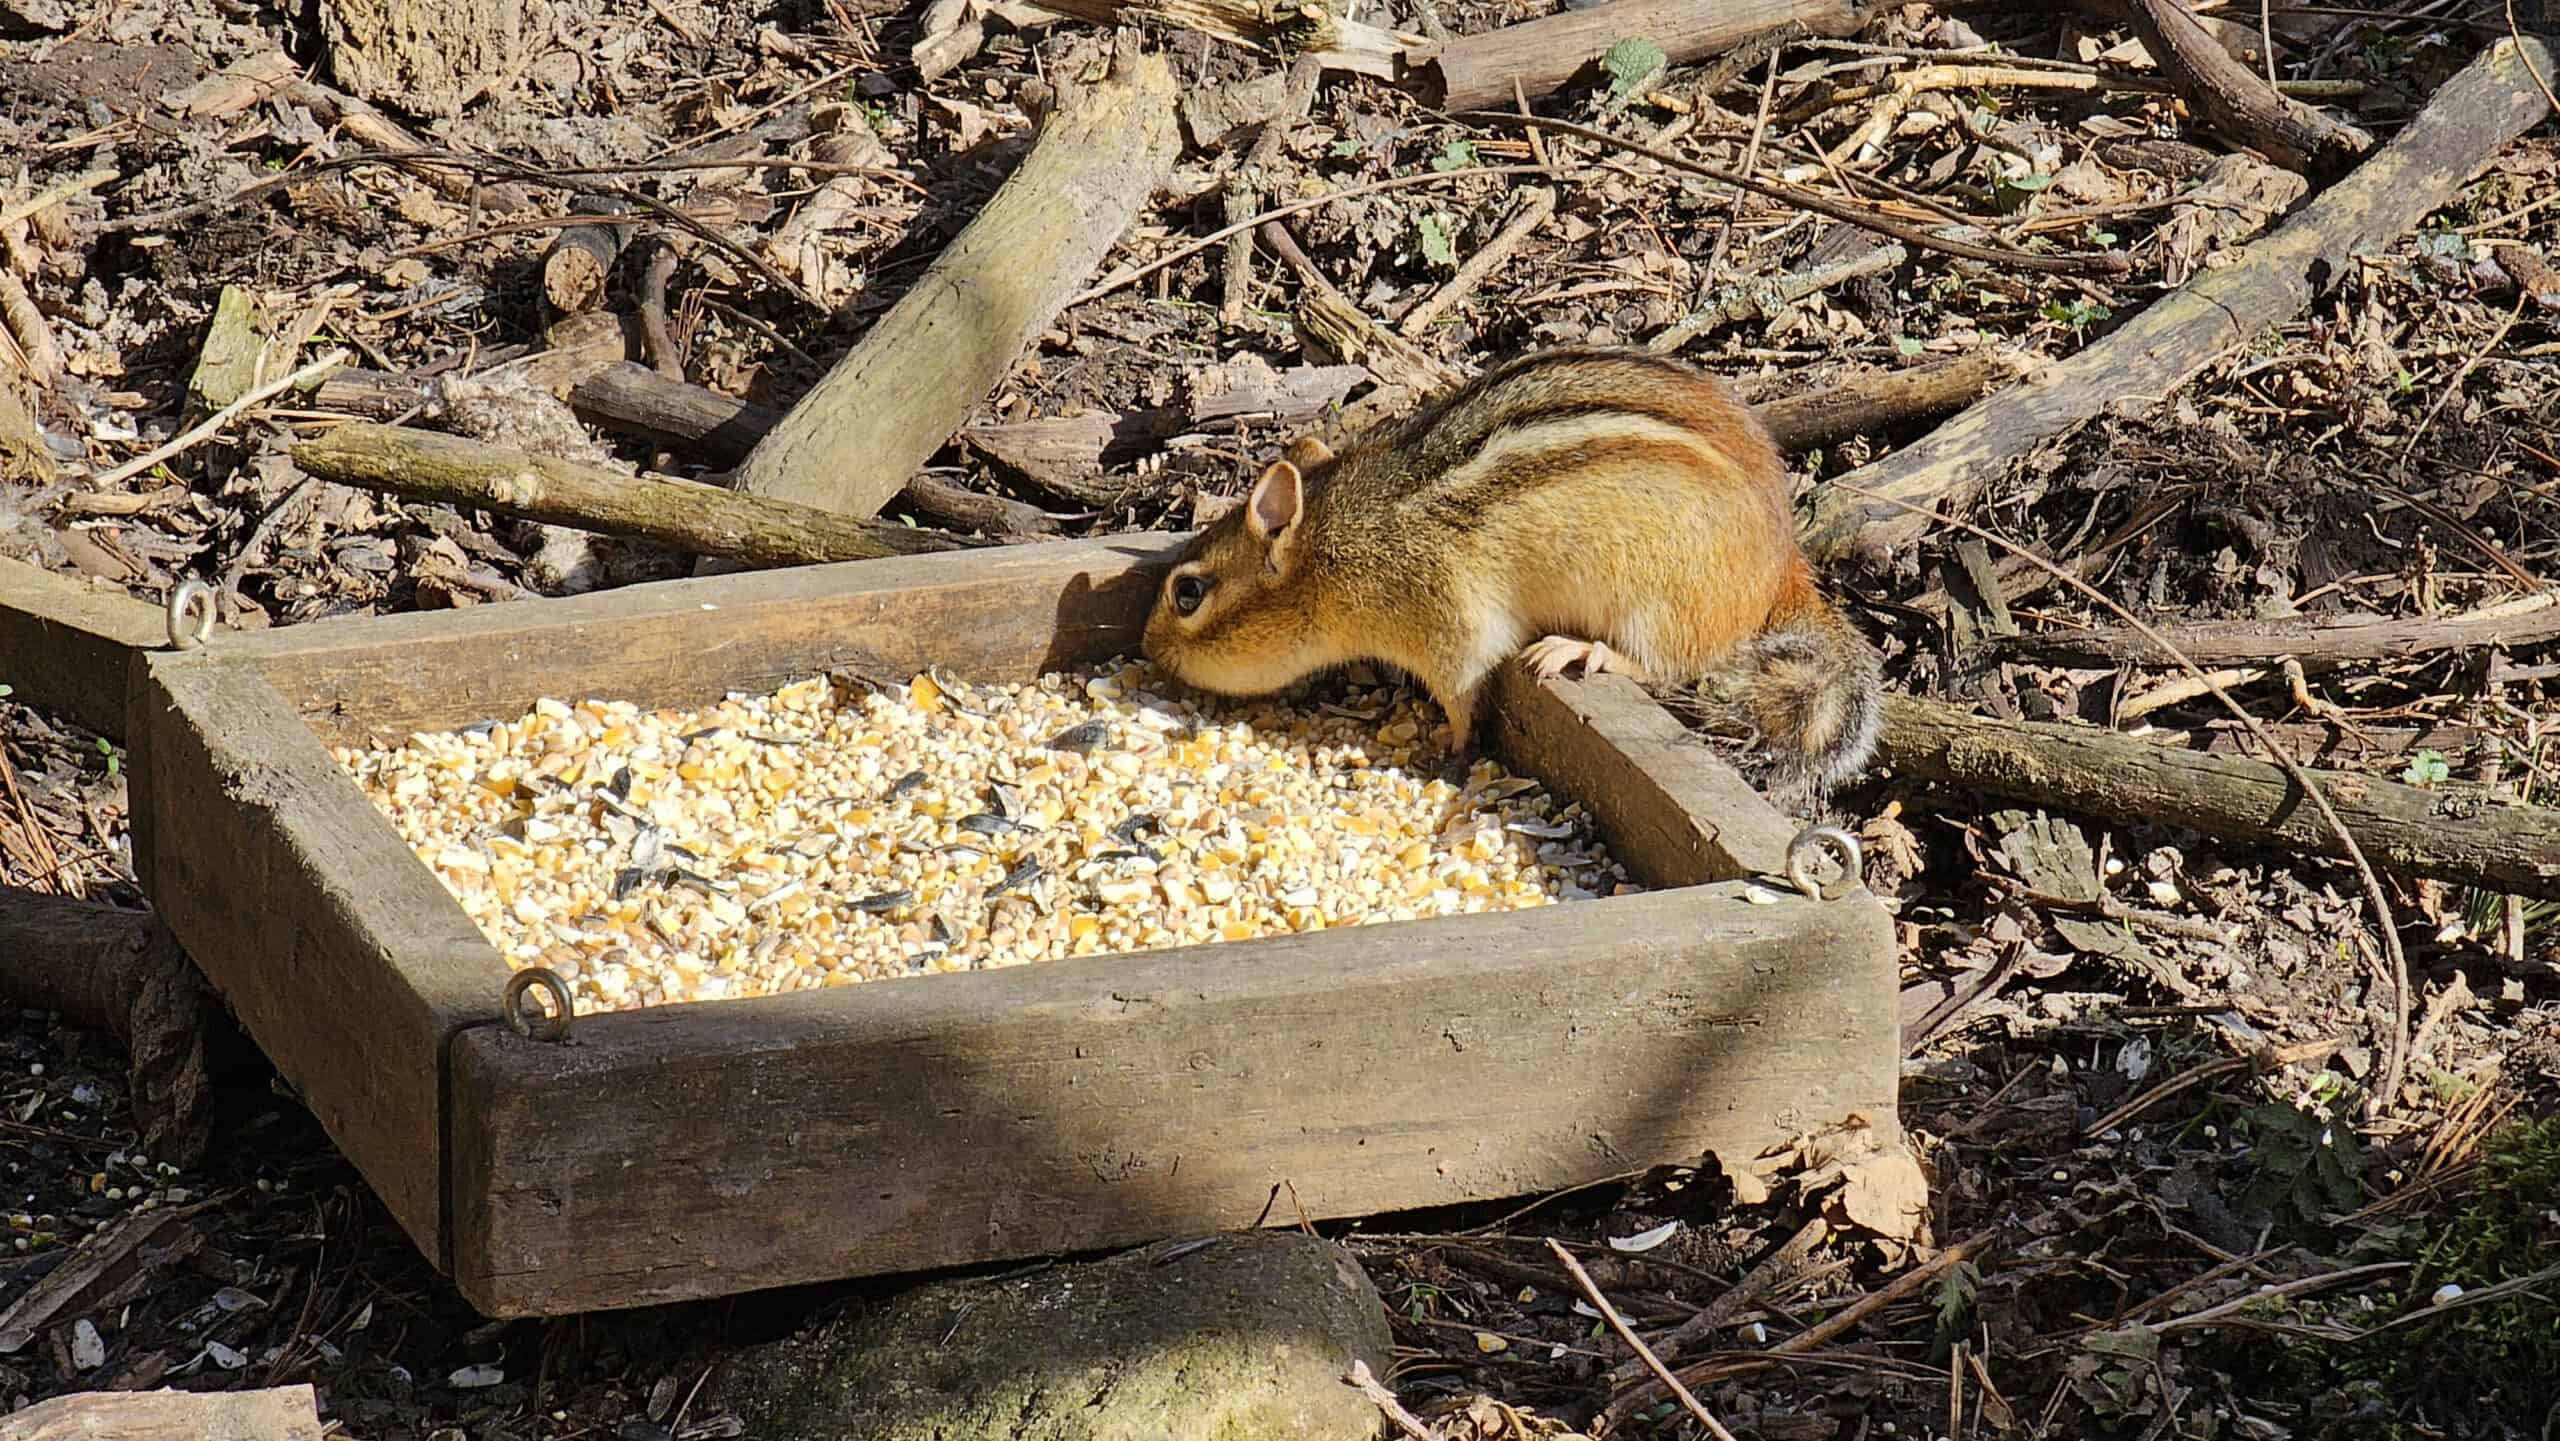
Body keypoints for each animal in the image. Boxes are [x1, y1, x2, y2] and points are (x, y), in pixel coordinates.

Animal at [1140, 346, 1883, 795]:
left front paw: (1448, 746)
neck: (1334, 544)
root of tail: (1782, 562)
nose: (1149, 649)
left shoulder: (1447, 622)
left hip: (1661, 602)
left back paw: (1581, 650)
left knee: (1664, 664)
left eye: (1188, 592)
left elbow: (1465, 690)